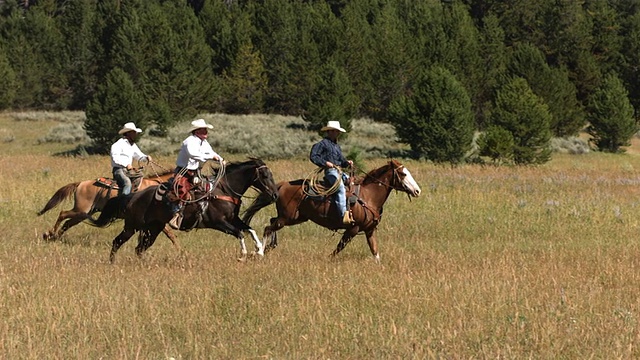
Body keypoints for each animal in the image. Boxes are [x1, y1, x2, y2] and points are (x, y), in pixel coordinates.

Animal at [38, 167, 176, 242]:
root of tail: (81, 183)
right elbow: (170, 234)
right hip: (81, 209)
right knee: (63, 214)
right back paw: (49, 234)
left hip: (84, 213)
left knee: (67, 223)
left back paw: (54, 237)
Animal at [89, 159, 278, 262]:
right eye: (265, 176)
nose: (275, 194)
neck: (223, 190)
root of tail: (133, 196)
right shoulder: (219, 222)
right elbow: (239, 233)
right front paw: (243, 255)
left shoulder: (233, 219)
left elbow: (250, 230)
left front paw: (259, 250)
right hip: (132, 226)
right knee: (117, 242)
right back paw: (112, 263)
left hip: (153, 229)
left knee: (139, 248)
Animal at [242, 160, 422, 262]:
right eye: (403, 174)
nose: (417, 191)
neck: (368, 196)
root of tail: (282, 185)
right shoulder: (353, 229)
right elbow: (339, 248)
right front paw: (329, 259)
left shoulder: (369, 230)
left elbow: (375, 251)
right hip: (287, 218)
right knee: (268, 227)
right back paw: (260, 252)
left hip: (295, 218)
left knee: (272, 222)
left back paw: (270, 246)